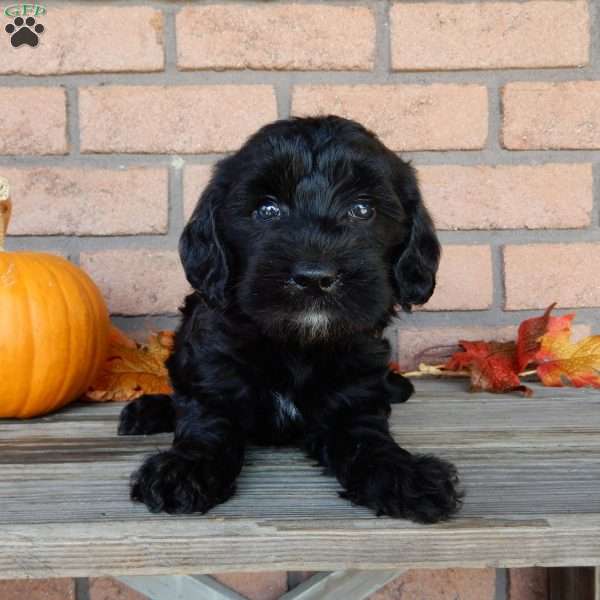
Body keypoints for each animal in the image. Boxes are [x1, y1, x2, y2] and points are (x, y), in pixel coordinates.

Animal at [119, 115, 462, 524]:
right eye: (267, 211)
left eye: (362, 210)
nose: (314, 277)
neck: (297, 344)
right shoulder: (212, 368)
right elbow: (206, 422)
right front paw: (184, 470)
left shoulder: (354, 395)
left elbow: (368, 440)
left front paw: (406, 476)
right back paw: (146, 411)